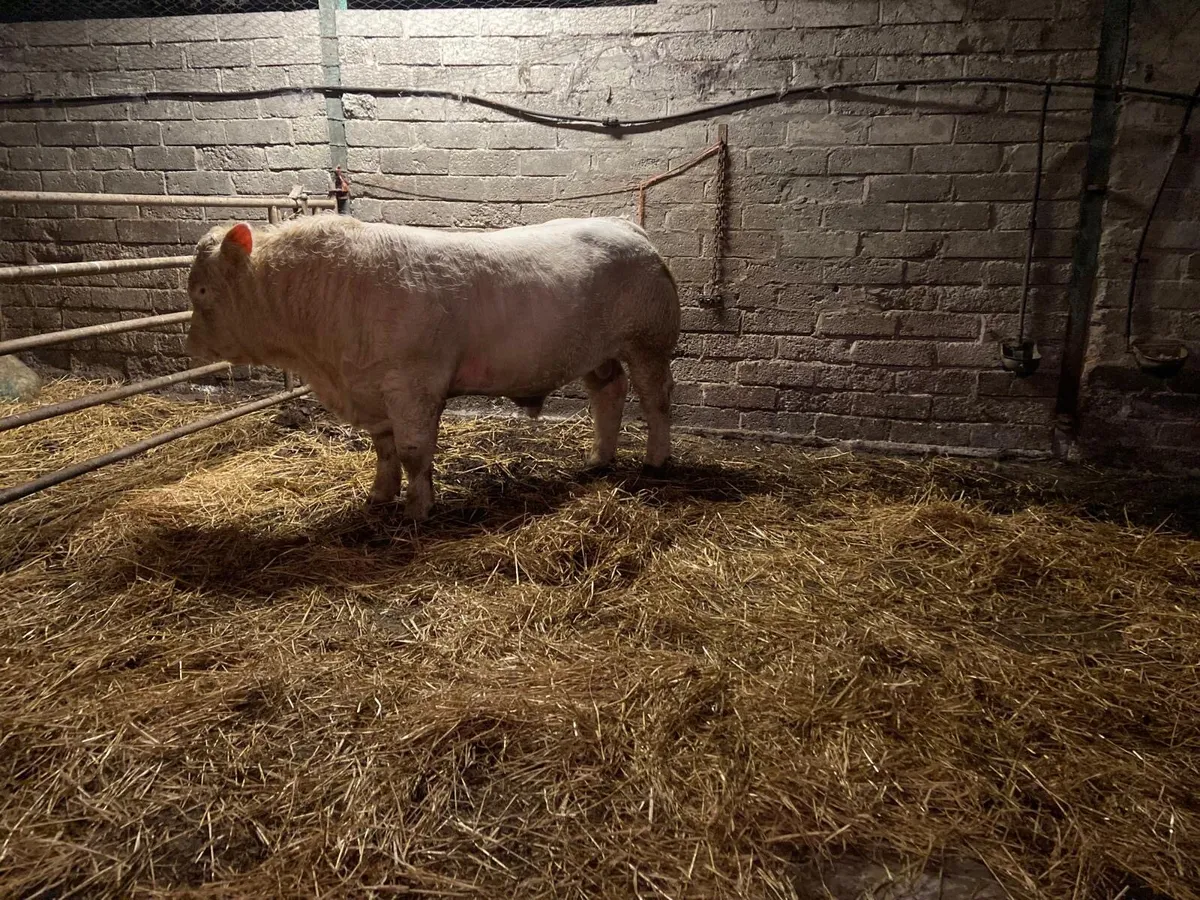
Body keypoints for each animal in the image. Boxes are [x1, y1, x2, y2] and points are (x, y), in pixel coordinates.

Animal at [184, 214, 680, 521]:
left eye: (202, 291)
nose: (191, 346)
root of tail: (627, 227)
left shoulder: (412, 384)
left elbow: (412, 452)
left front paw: (417, 509)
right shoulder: (372, 389)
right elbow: (384, 450)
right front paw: (379, 496)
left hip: (649, 342)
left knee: (656, 401)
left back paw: (656, 462)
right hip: (595, 352)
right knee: (609, 392)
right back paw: (598, 458)